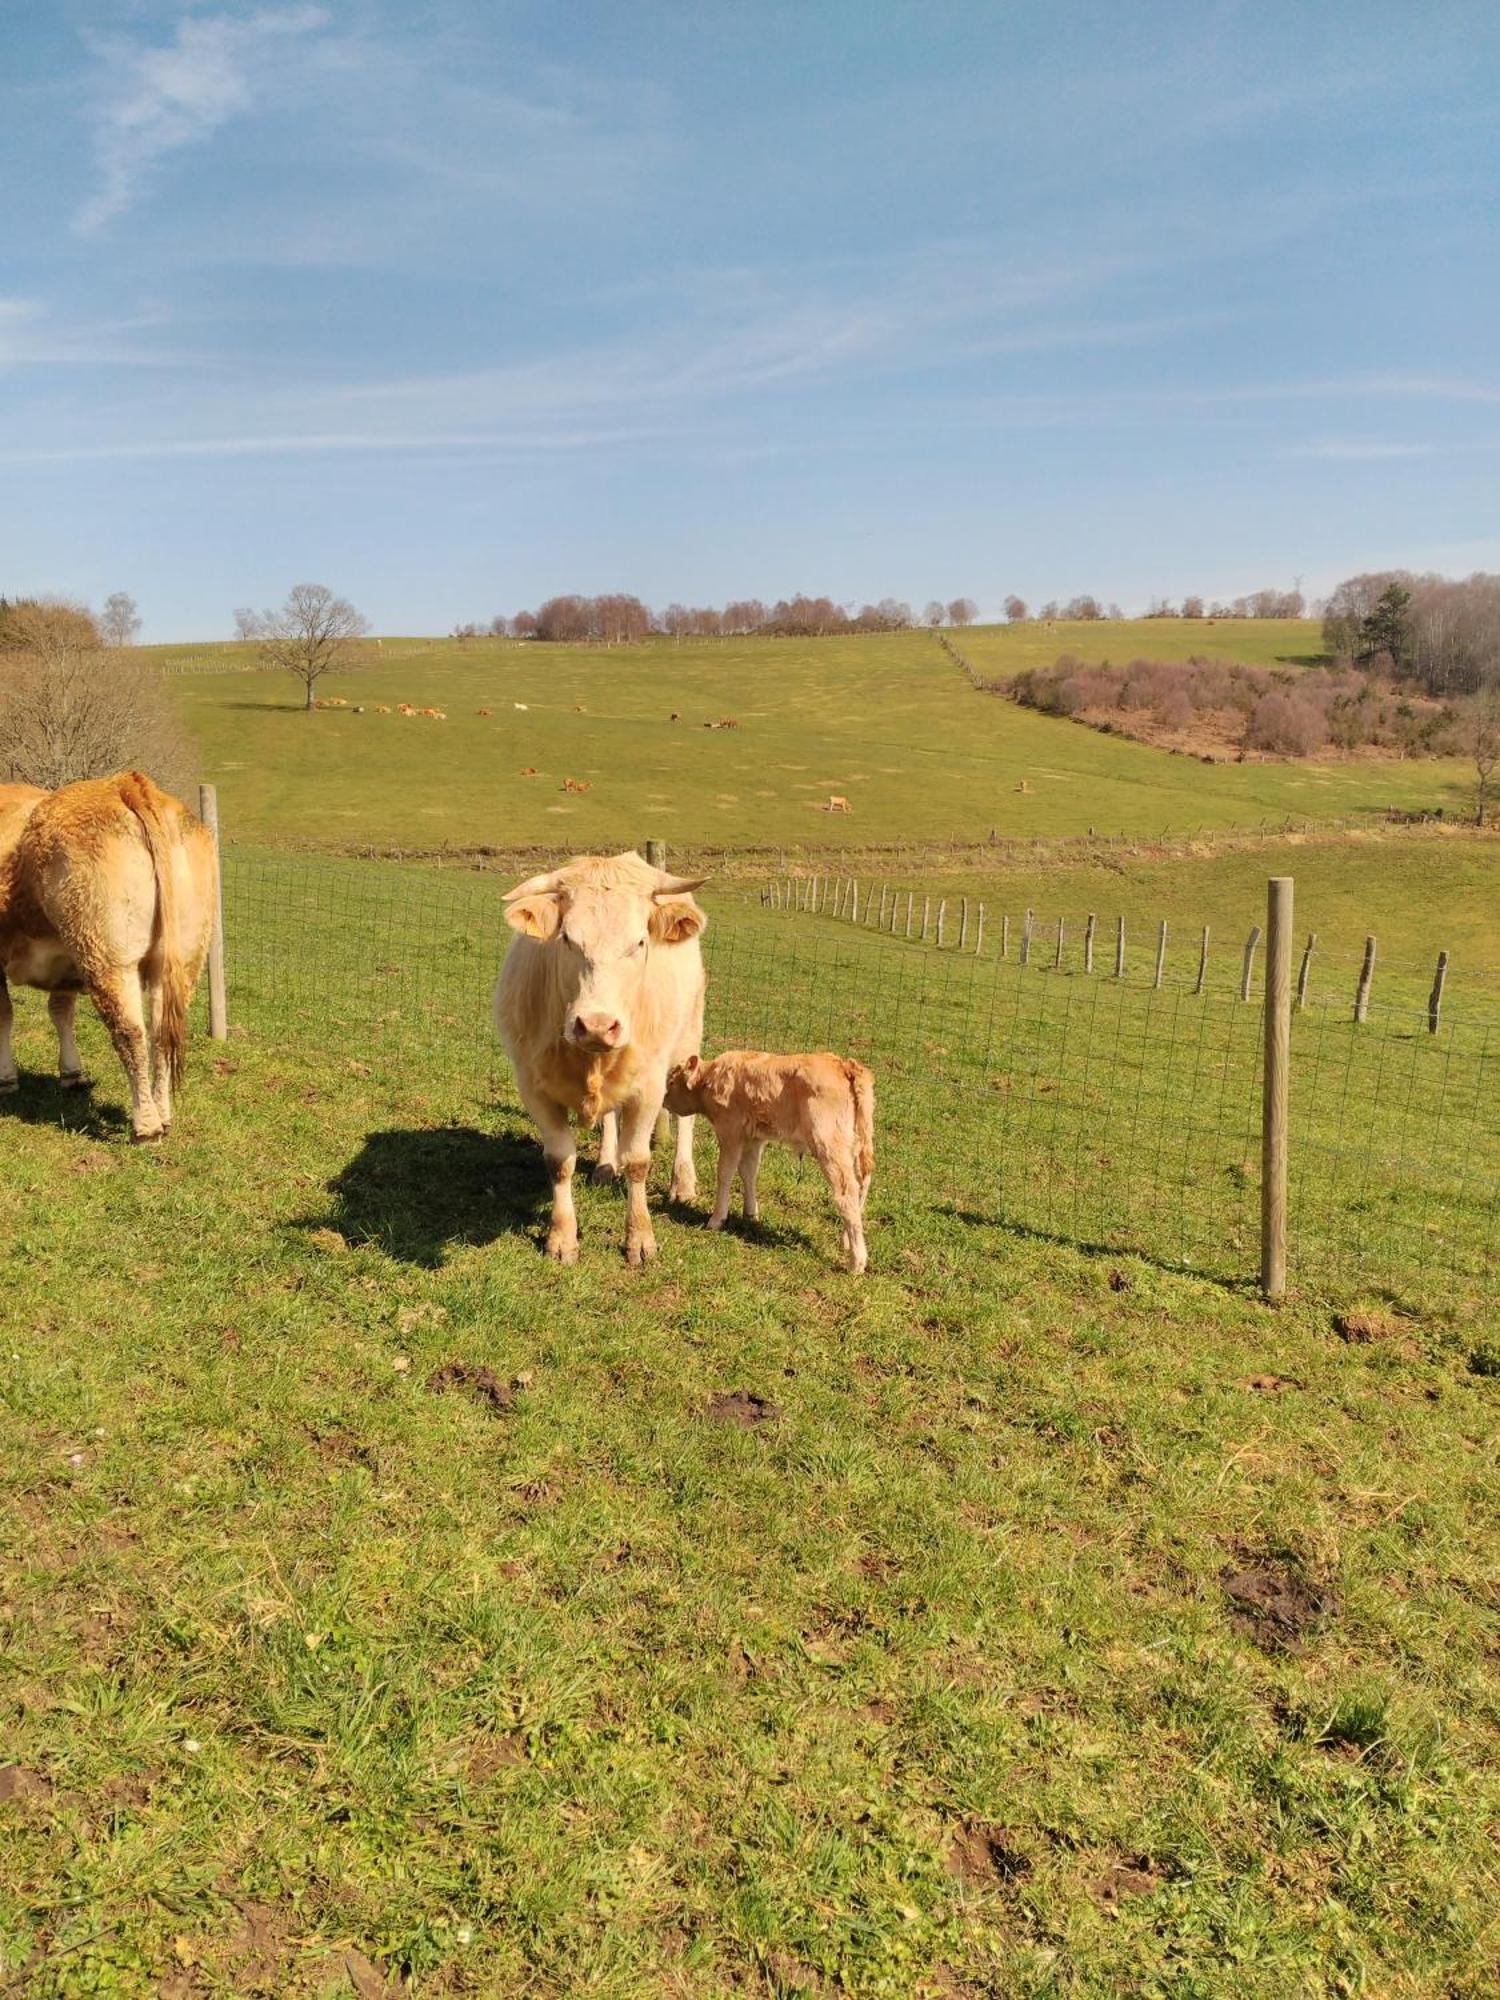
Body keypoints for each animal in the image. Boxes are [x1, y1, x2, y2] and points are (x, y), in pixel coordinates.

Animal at [0, 764, 217, 1144]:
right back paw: (163, 1114)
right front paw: (72, 1074)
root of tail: (124, 783)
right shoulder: (65, 966)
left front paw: (5, 1079)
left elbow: (4, 1015)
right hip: (180, 957)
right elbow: (61, 1012)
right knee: (160, 1033)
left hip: (108, 958)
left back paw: (146, 1125)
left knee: (130, 1033)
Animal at [494, 848, 704, 1264]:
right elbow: (560, 1160)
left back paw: (683, 1181)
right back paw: (606, 1164)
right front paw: (562, 1237)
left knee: (684, 1117)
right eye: (567, 939)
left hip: (689, 1040)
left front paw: (640, 1238)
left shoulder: (649, 1087)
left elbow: (638, 1160)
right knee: (609, 1117)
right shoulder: (533, 1086)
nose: (596, 1025)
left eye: (640, 942)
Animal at [668, 1056, 876, 1272]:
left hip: (829, 1144)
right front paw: (751, 1214)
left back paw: (856, 1262)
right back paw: (846, 1240)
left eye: (672, 1082)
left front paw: (717, 1220)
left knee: (847, 1192)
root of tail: (845, 1065)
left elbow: (725, 1172)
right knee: (861, 1185)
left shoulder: (730, 1131)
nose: (664, 1102)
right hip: (855, 1144)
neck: (711, 1077)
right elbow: (748, 1171)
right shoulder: (754, 1138)